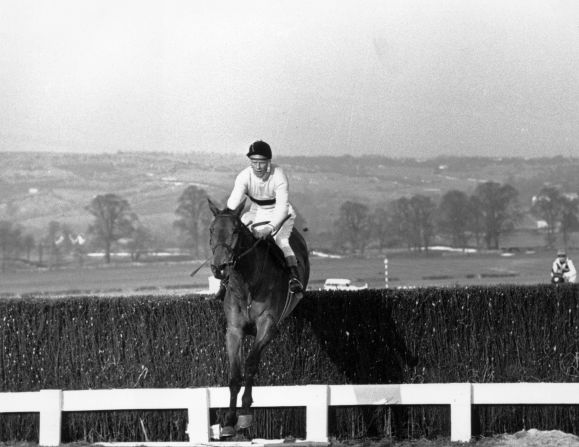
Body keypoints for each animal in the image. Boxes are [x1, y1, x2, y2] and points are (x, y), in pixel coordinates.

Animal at [207, 199, 310, 438]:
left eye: (235, 231)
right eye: (211, 230)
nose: (219, 268)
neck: (247, 284)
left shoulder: (267, 325)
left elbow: (251, 363)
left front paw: (244, 414)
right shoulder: (234, 330)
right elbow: (235, 374)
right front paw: (229, 421)